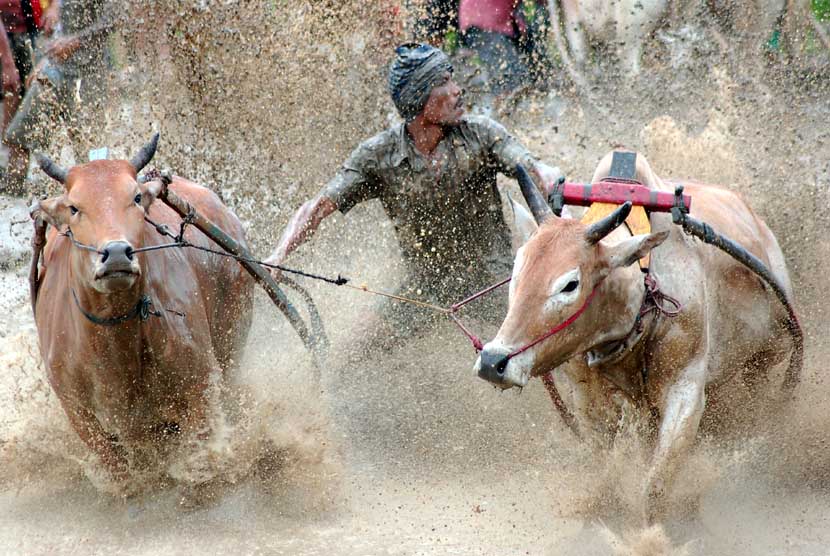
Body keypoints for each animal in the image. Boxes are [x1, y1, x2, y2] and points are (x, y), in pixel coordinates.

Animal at [30, 136, 254, 496]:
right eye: (74, 207)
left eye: (135, 197)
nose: (116, 254)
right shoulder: (77, 410)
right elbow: (118, 468)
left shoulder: (201, 385)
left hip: (233, 342)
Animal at [478, 150, 804, 520]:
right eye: (517, 270)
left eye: (570, 284)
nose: (492, 361)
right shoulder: (588, 401)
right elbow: (607, 479)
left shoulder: (685, 391)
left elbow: (655, 489)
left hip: (764, 361)